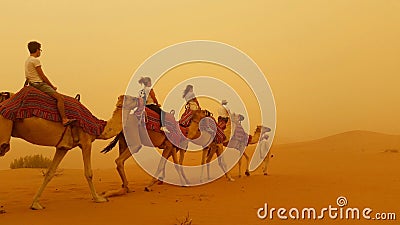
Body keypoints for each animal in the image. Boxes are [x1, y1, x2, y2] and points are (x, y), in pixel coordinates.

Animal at [0, 94, 138, 210]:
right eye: (130, 98)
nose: (138, 99)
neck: (98, 128)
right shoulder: (86, 141)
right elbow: (89, 173)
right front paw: (99, 198)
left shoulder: (63, 147)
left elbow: (50, 173)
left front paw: (35, 204)